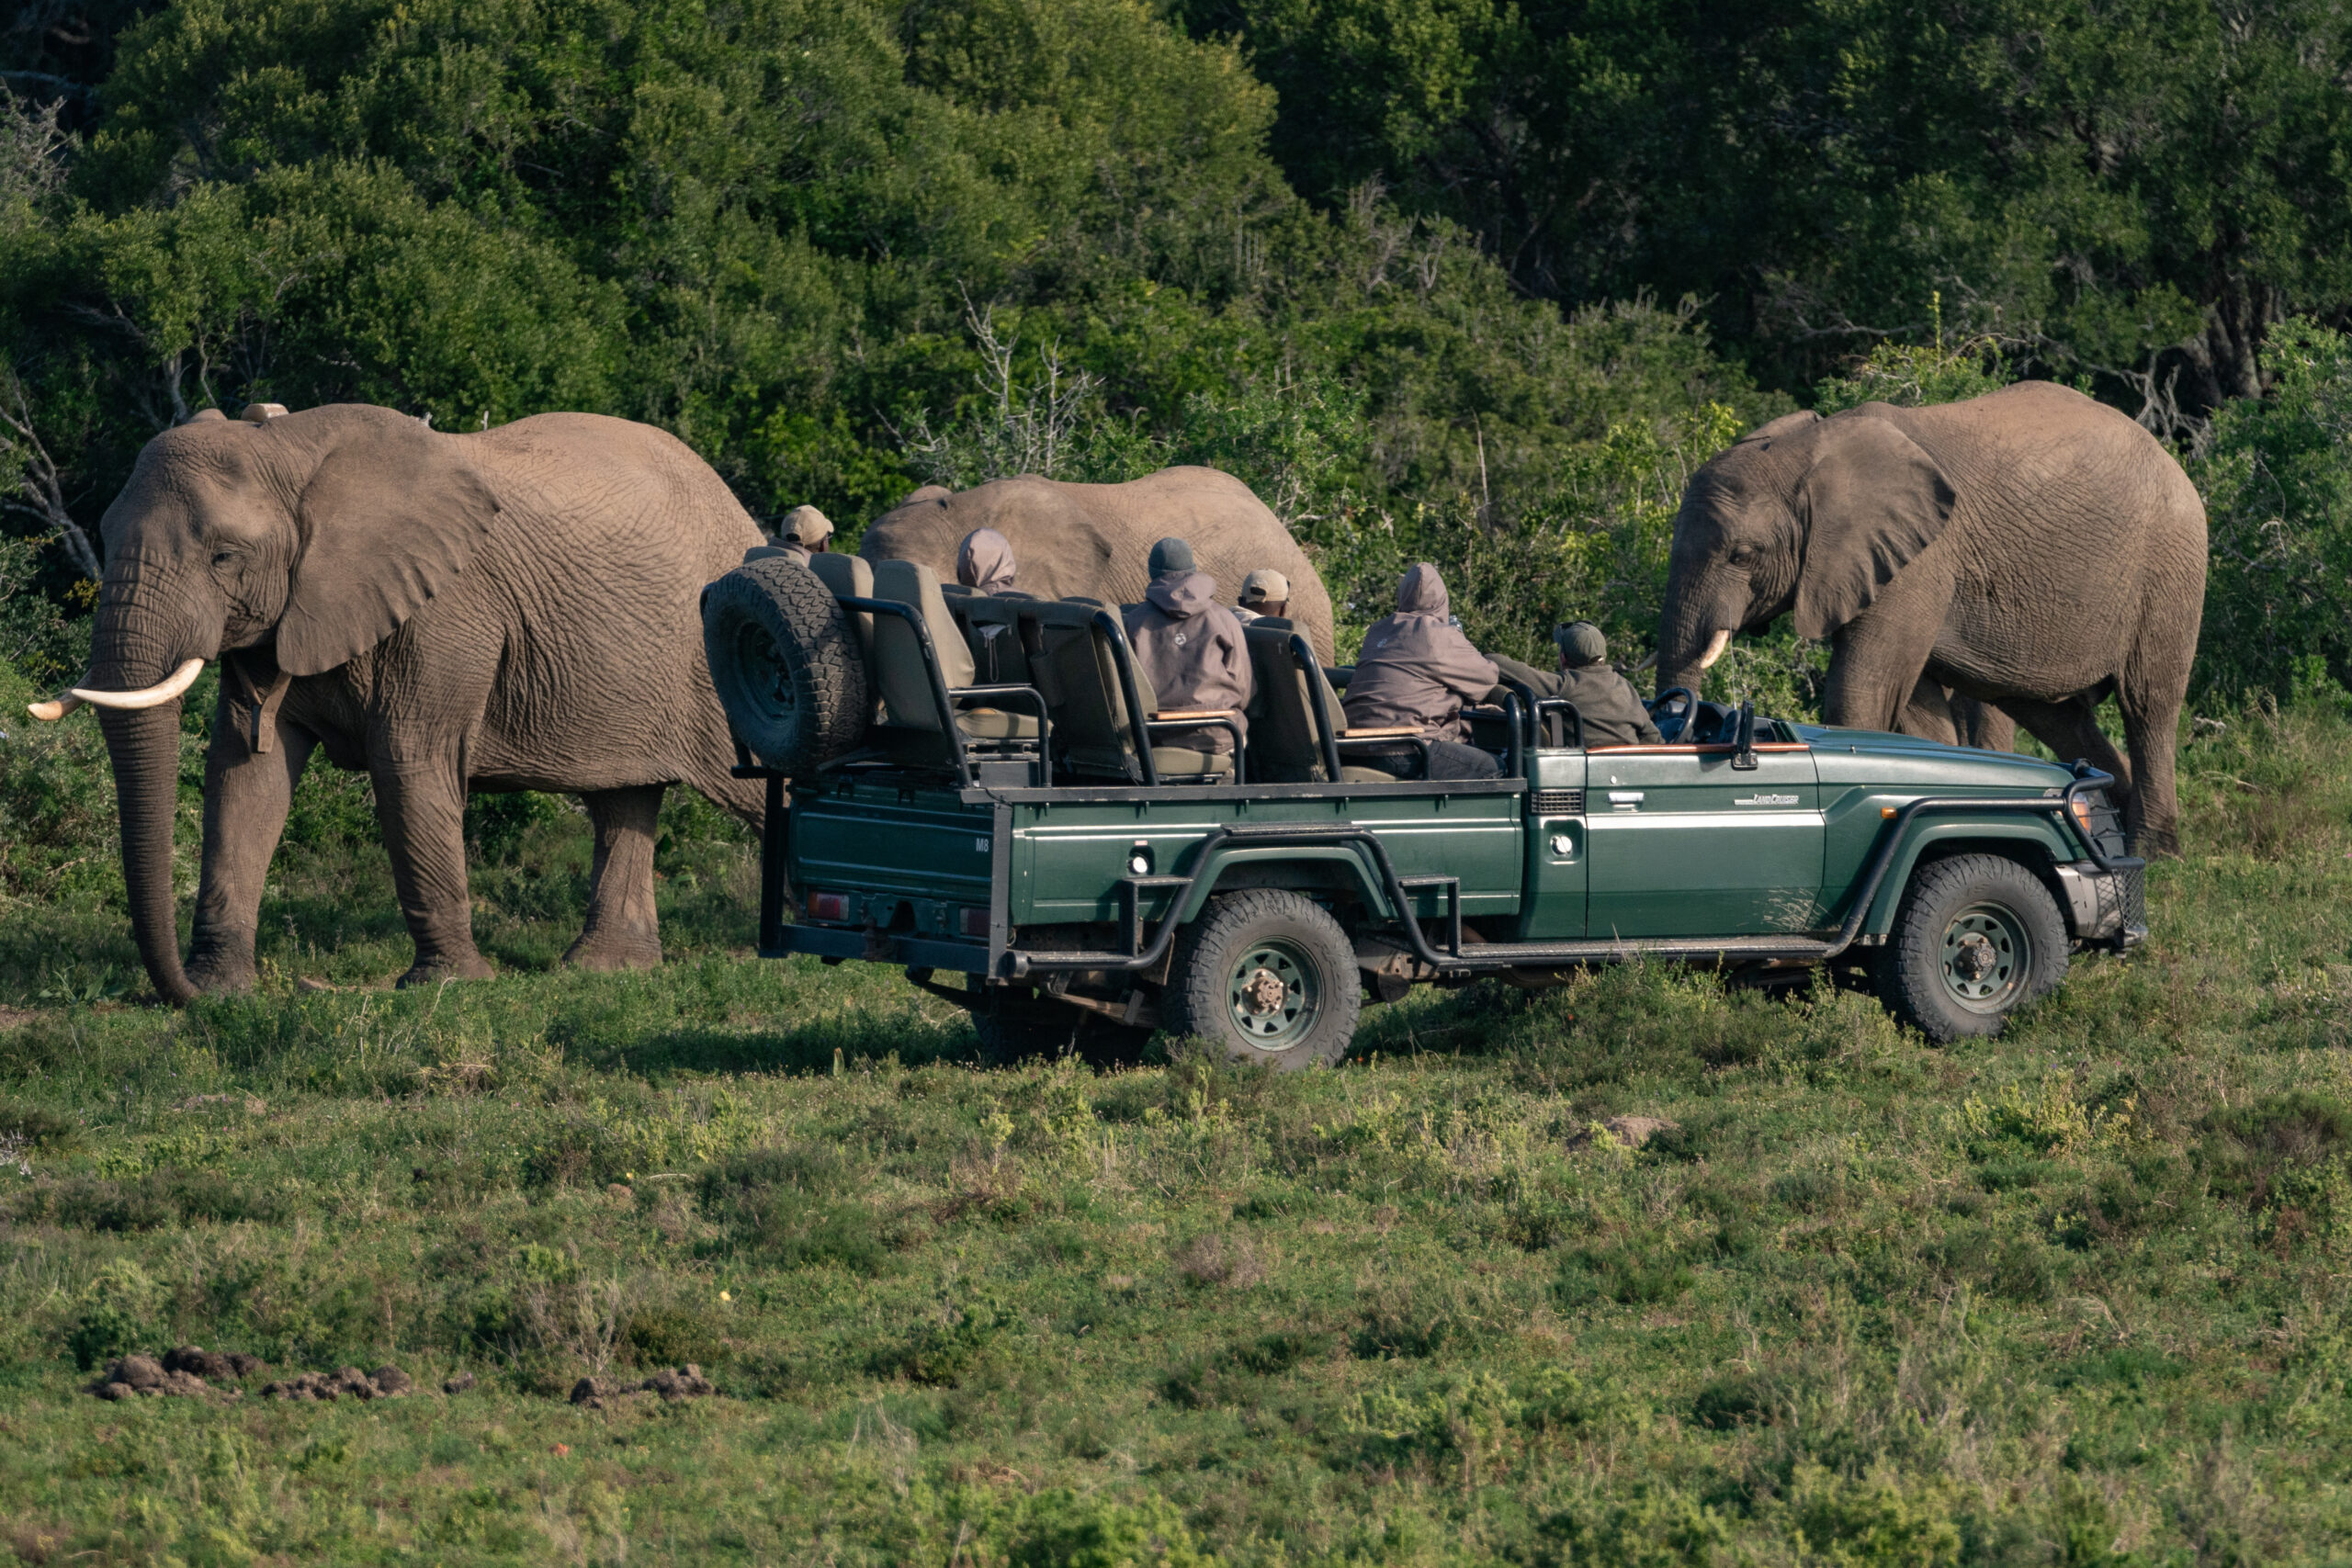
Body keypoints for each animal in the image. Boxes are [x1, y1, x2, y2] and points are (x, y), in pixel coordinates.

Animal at [31, 403, 765, 1003]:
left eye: (224, 557)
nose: (178, 992)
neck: (291, 450)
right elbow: (245, 773)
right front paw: (221, 989)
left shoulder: (446, 612)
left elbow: (409, 764)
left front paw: (447, 984)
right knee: (624, 800)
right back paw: (604, 970)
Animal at [1657, 382, 2206, 854]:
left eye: (1742, 555)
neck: (1807, 454)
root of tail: (2170, 458)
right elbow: (1914, 705)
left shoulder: (1920, 560)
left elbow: (1865, 687)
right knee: (2050, 711)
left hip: (2170, 566)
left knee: (2148, 704)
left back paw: (2155, 853)